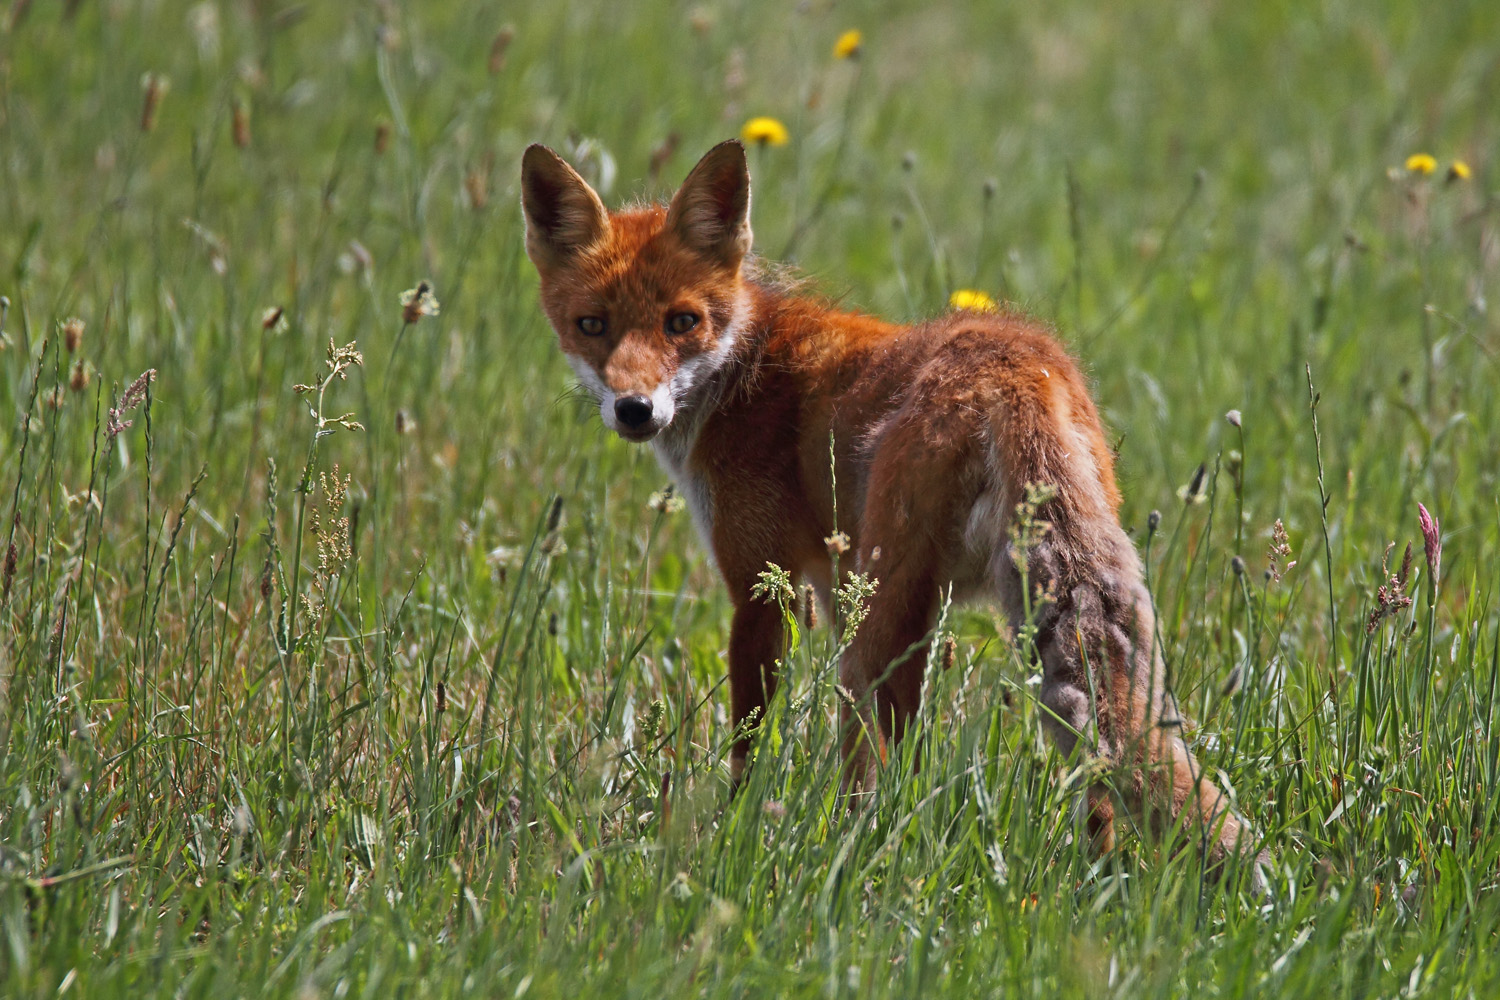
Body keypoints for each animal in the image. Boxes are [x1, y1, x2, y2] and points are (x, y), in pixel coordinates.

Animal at [522, 138, 1260, 875]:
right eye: (592, 326)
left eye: (682, 322)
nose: (634, 409)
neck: (743, 372)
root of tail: (1017, 368)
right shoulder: (834, 585)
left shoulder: (763, 586)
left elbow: (749, 739)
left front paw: (734, 833)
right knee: (1090, 778)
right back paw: (1086, 876)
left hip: (876, 627)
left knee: (877, 768)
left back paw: (851, 857)